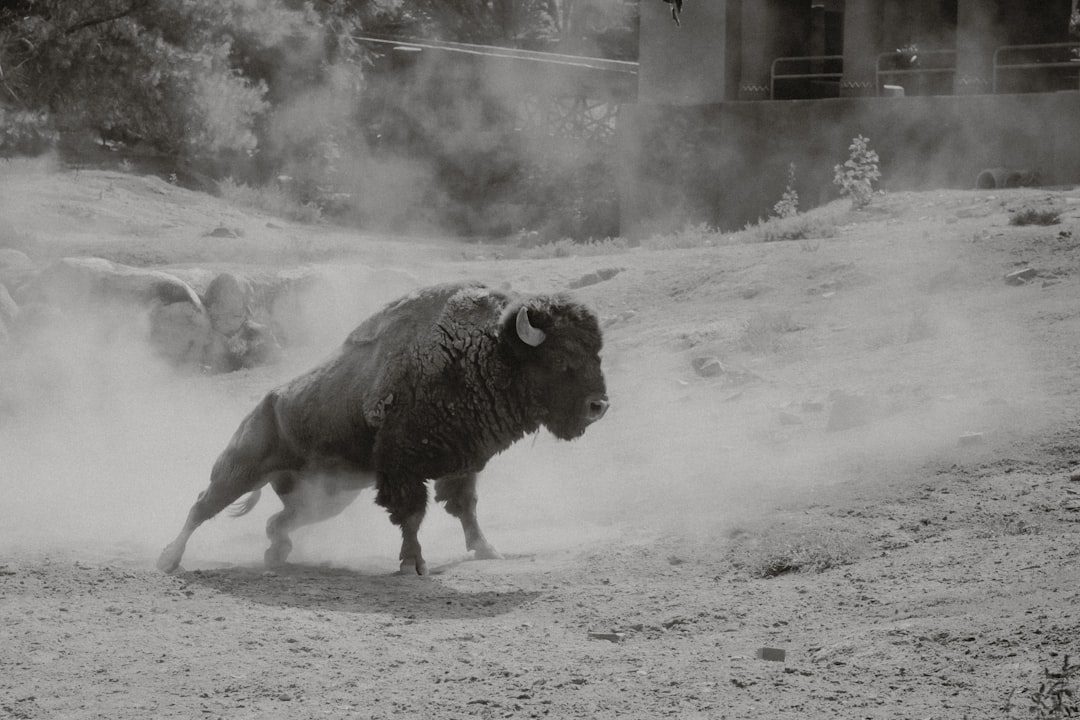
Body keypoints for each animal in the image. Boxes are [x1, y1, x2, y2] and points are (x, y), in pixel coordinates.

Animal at [157, 282, 608, 575]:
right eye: (562, 360)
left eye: (597, 353)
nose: (599, 406)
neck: (485, 350)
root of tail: (266, 403)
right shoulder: (402, 467)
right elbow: (412, 514)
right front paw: (413, 563)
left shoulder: (462, 464)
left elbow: (466, 508)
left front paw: (487, 550)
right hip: (239, 469)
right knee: (201, 506)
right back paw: (168, 559)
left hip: (326, 497)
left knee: (277, 521)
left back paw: (276, 554)